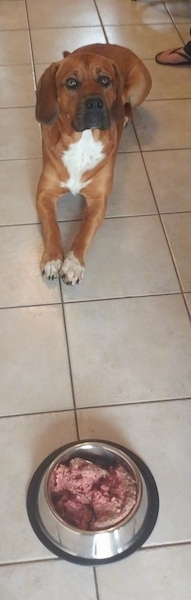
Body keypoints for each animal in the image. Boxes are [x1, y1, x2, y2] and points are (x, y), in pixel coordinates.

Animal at [35, 44, 151, 284]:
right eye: (72, 83)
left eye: (104, 80)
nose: (96, 103)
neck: (83, 141)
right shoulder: (44, 194)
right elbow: (52, 227)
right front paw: (53, 258)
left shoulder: (98, 201)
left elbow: (84, 232)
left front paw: (73, 263)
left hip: (139, 87)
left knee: (127, 103)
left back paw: (125, 116)